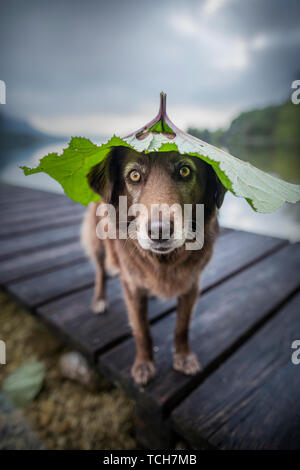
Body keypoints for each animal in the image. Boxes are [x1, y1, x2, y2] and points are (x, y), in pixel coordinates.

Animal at [81, 148, 226, 386]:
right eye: (134, 175)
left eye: (185, 171)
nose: (159, 231)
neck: (164, 261)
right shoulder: (133, 287)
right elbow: (142, 331)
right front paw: (143, 365)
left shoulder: (191, 285)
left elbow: (182, 327)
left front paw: (183, 357)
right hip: (98, 241)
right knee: (101, 270)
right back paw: (100, 300)